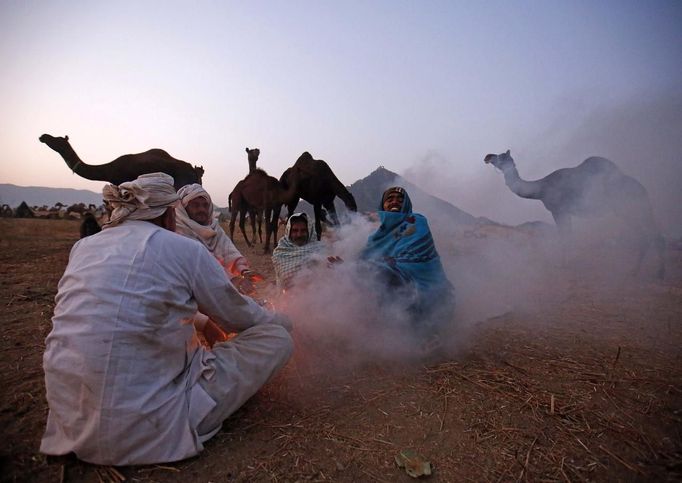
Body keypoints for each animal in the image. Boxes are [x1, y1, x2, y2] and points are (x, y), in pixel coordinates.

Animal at [484, 151, 664, 280]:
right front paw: (567, 262)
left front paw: (562, 264)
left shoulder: (559, 210)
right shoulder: (565, 212)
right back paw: (652, 272)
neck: (541, 188)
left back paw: (640, 272)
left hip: (626, 209)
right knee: (654, 234)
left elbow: (565, 237)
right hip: (638, 209)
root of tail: (643, 190)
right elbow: (569, 236)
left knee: (646, 235)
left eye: (501, 156)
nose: (488, 156)